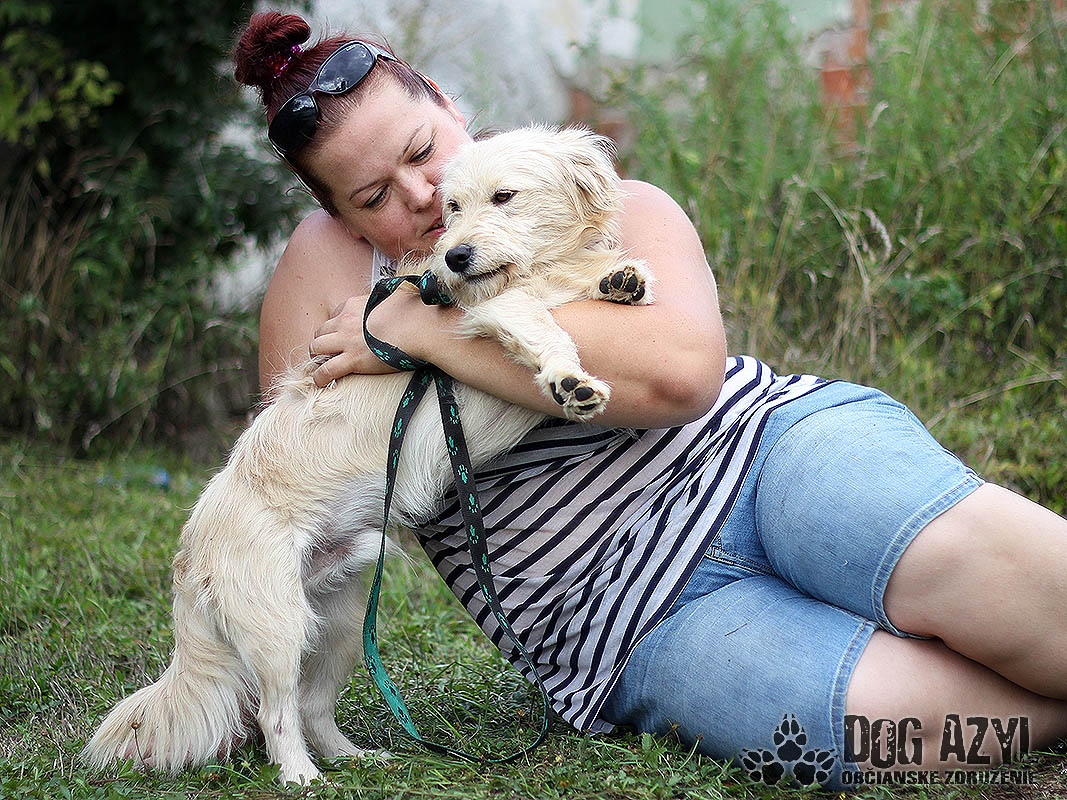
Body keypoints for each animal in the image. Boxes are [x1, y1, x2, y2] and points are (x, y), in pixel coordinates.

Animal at [84, 125, 654, 785]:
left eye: (505, 197)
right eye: (451, 207)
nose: (454, 258)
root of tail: (187, 557)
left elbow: (583, 276)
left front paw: (620, 277)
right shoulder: (492, 311)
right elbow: (543, 324)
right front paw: (570, 380)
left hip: (339, 623)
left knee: (311, 706)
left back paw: (355, 758)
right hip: (278, 625)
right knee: (277, 713)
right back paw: (302, 778)